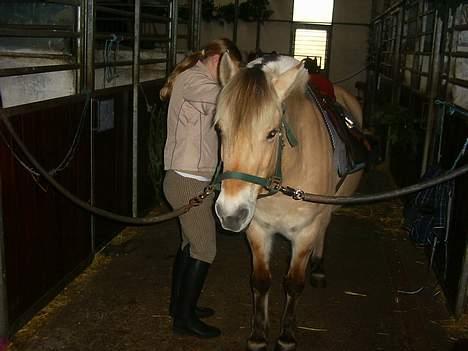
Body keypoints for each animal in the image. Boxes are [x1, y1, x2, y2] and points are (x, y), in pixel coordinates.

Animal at [214, 53, 364, 350]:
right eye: (219, 129)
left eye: (272, 133)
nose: (230, 214)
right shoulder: (257, 230)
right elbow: (261, 281)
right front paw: (259, 335)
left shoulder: (305, 232)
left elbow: (294, 284)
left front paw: (286, 336)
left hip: (327, 209)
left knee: (324, 229)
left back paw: (318, 267)